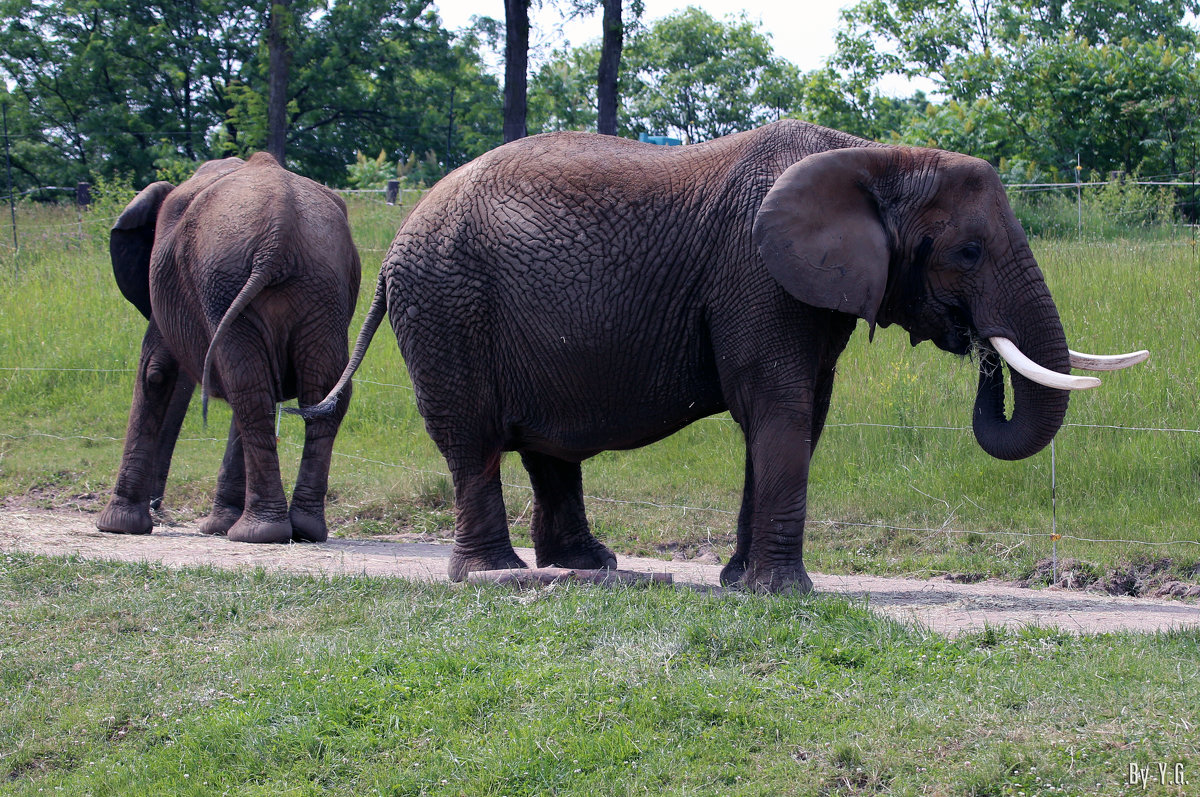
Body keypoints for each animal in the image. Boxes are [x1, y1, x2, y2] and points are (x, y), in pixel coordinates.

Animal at [97, 152, 360, 544]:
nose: (159, 510)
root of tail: (281, 229)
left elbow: (155, 372)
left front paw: (116, 526)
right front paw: (217, 526)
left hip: (227, 280)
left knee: (249, 388)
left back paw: (257, 533)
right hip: (320, 287)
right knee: (302, 391)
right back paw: (303, 530)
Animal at [297, 120, 1142, 590]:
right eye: (967, 251)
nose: (980, 349)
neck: (877, 157)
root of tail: (395, 245)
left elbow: (799, 414)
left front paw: (743, 583)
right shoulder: (755, 272)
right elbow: (779, 405)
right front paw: (784, 594)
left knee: (546, 447)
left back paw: (590, 567)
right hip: (448, 304)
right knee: (472, 438)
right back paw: (495, 575)